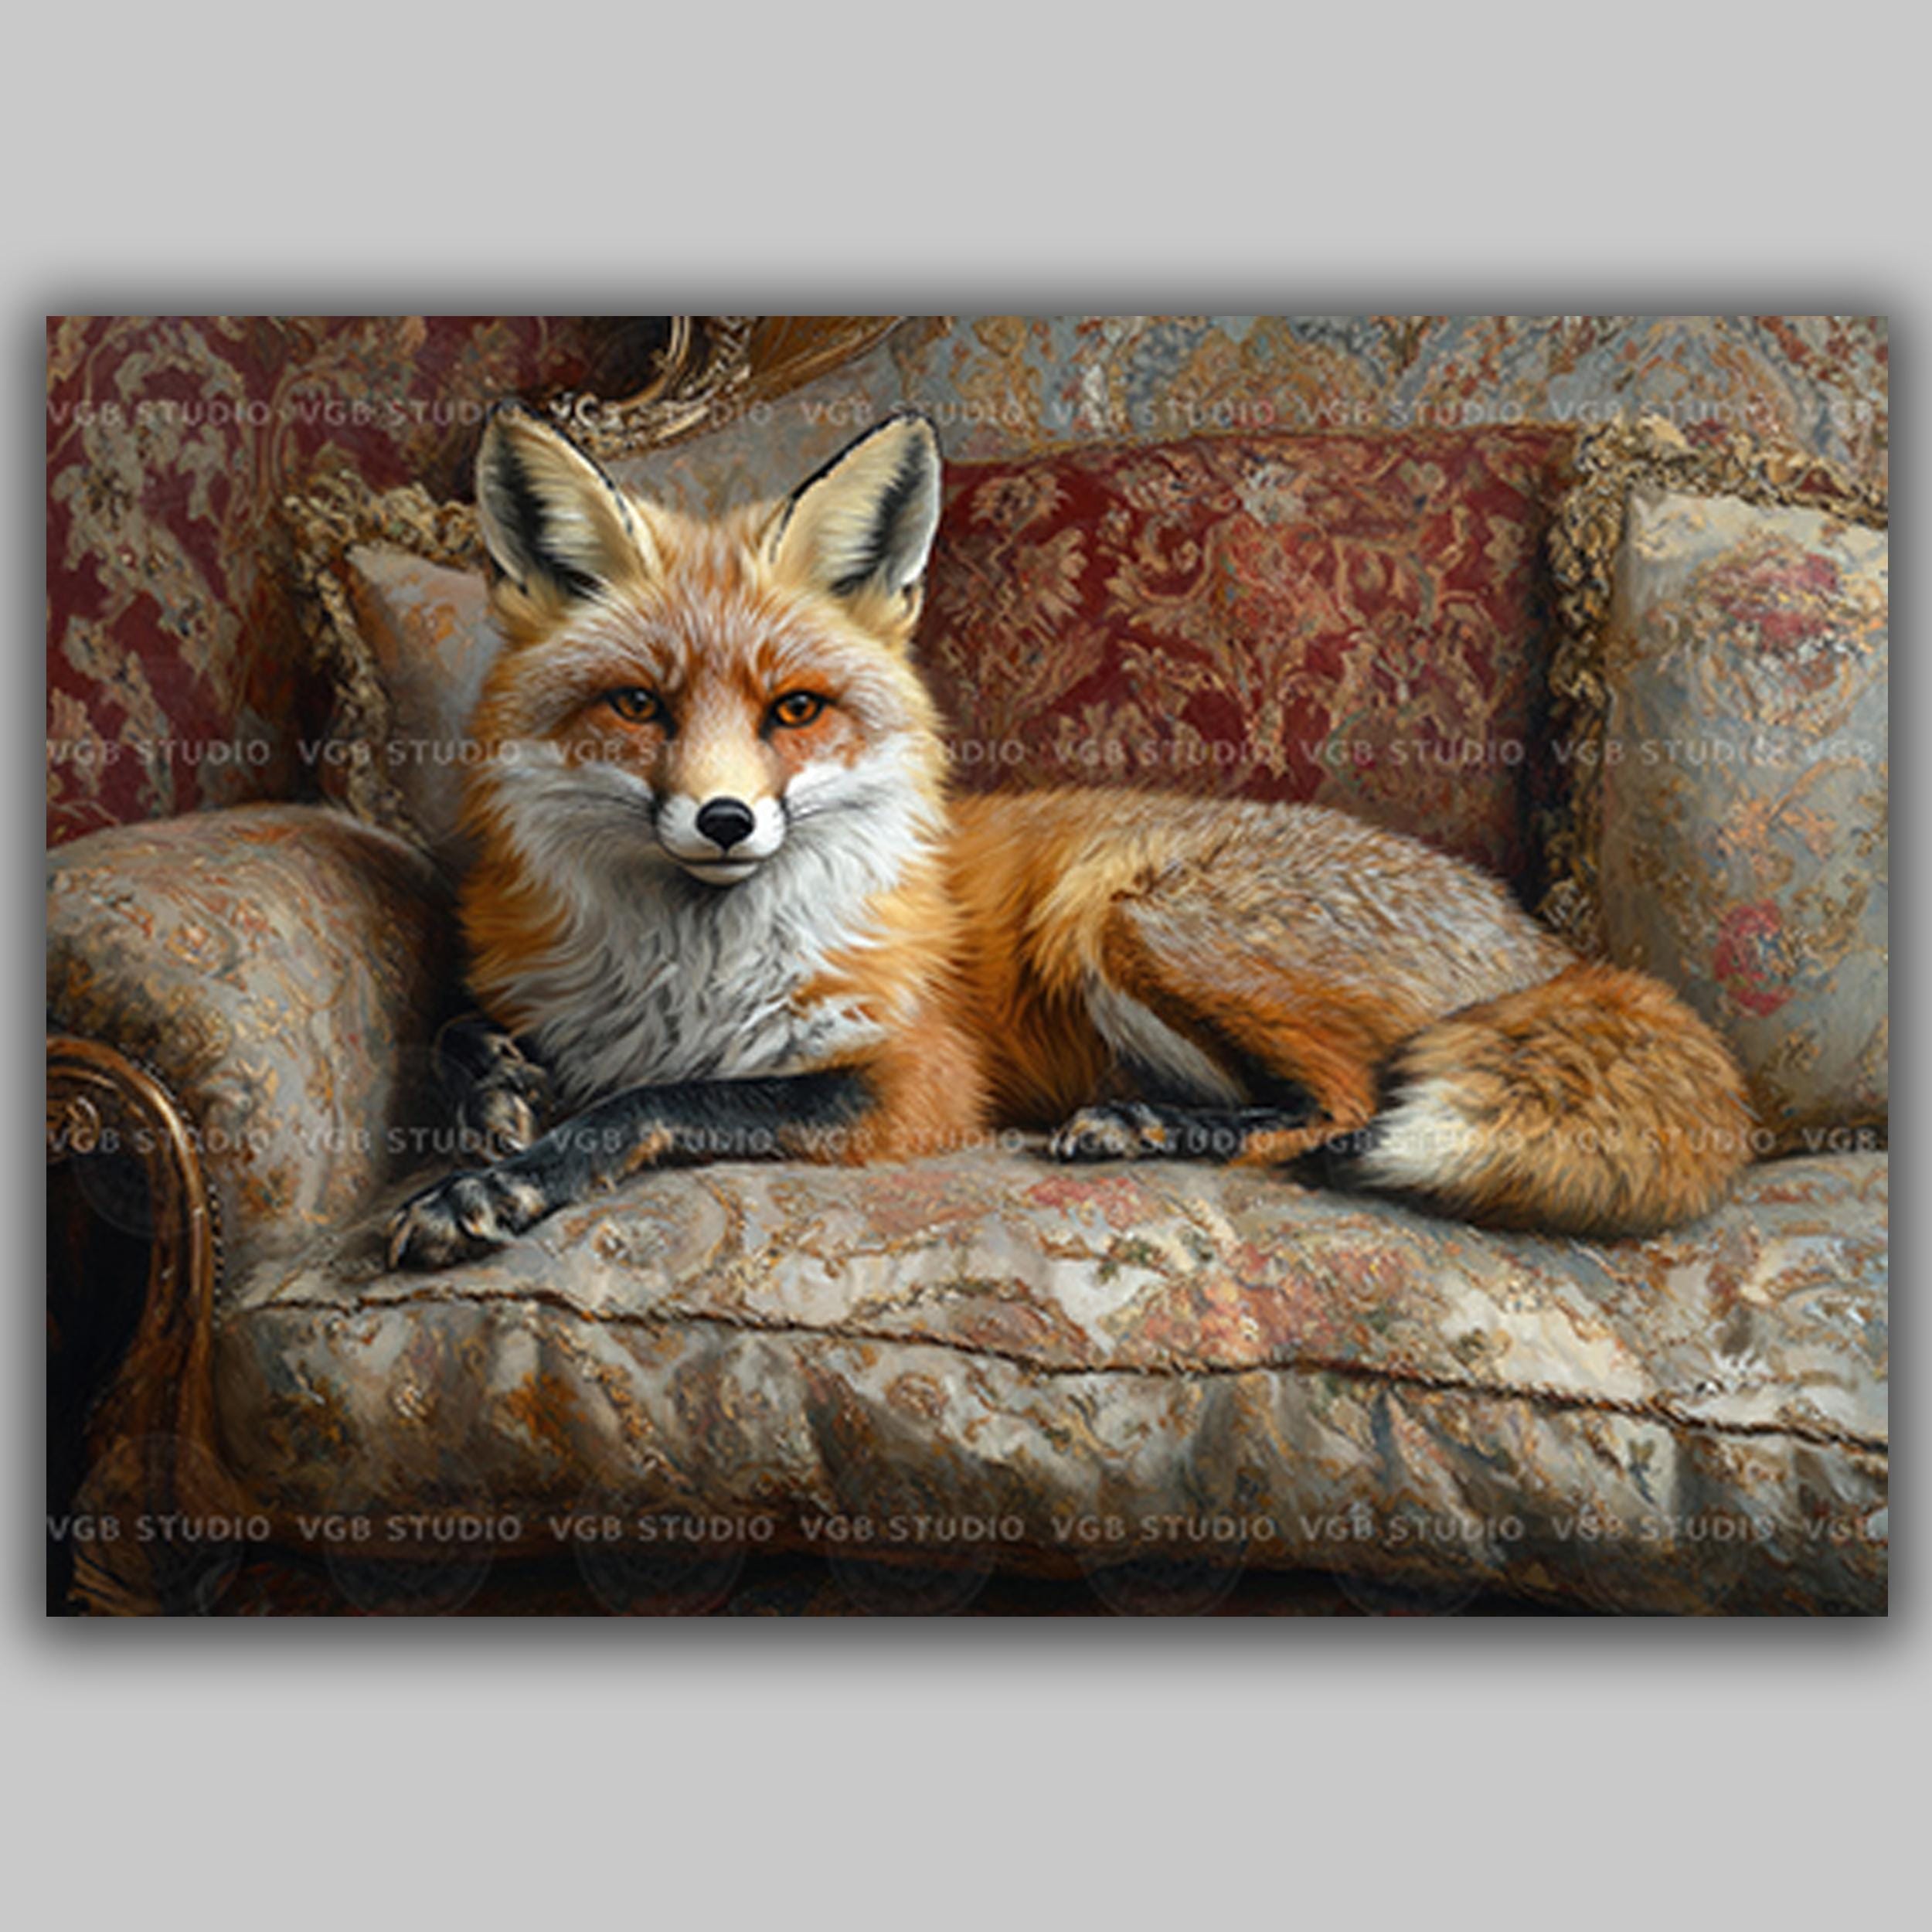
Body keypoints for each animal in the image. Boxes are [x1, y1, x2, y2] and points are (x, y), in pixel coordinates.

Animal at [385, 403, 1755, 1270]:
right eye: (639, 707)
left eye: (796, 711)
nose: (726, 820)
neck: (689, 965)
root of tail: (1554, 950)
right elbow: (463, 1033)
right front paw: (497, 1097)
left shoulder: (916, 1081)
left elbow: (659, 1101)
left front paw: (509, 1178)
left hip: (1124, 908)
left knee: (1346, 1109)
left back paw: (1148, 1128)